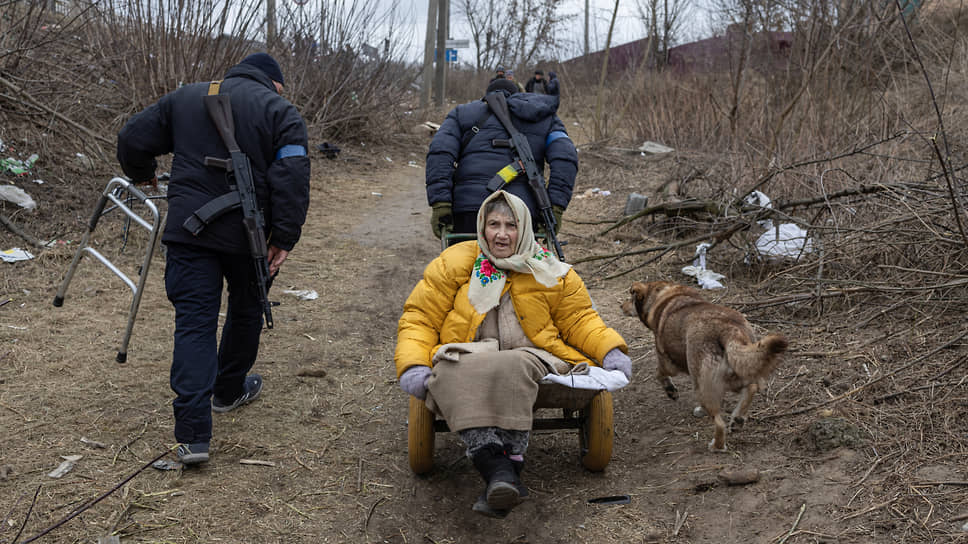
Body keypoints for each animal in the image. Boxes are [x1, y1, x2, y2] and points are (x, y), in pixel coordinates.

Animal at [624, 280, 792, 450]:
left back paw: (716, 446)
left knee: (719, 423)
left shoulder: (667, 362)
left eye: (630, 297)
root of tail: (730, 331)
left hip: (703, 387)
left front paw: (671, 391)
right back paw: (738, 420)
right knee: (751, 388)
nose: (621, 306)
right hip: (742, 368)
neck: (663, 296)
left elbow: (659, 374)